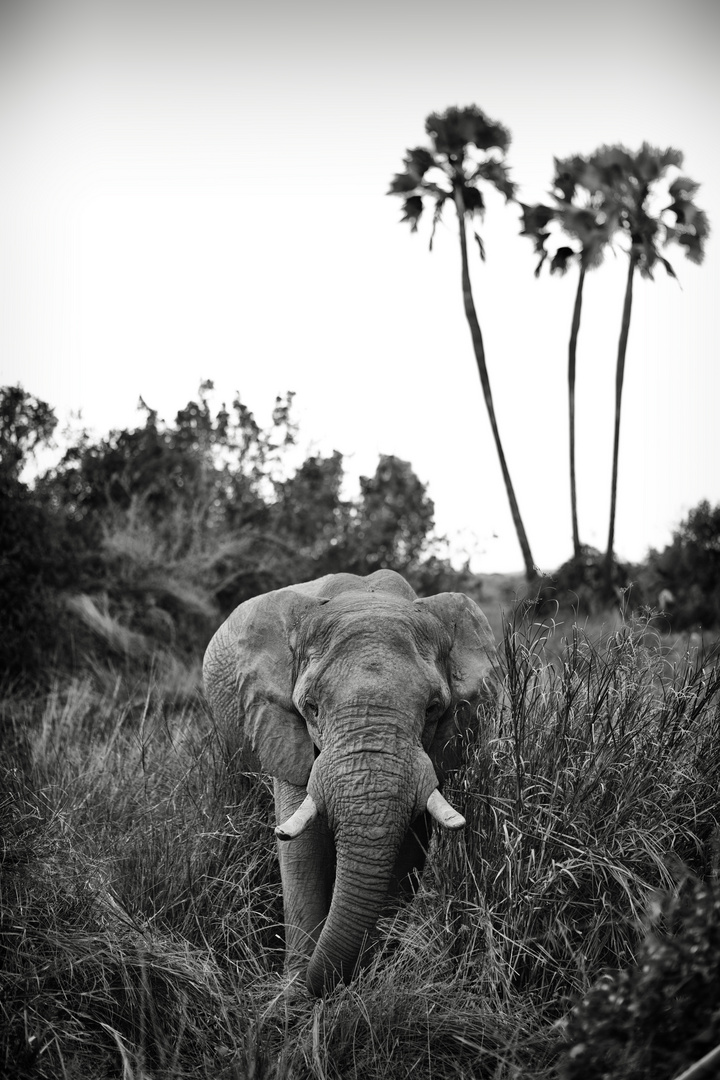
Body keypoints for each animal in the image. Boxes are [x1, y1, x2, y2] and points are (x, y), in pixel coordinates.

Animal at [202, 570, 496, 989]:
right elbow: (302, 847)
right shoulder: (280, 724)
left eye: (433, 708)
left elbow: (408, 851)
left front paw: (368, 978)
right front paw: (295, 990)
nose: (321, 983)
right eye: (310, 707)